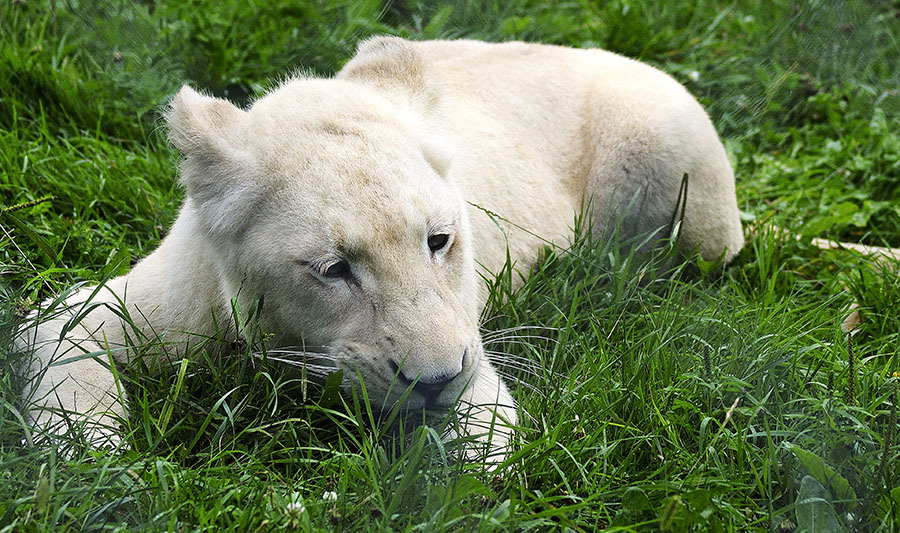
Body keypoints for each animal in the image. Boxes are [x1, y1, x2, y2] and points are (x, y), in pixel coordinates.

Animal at [17, 37, 740, 458]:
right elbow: (66, 366)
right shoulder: (89, 310)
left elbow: (481, 452)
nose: (437, 381)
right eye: (334, 269)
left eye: (439, 241)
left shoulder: (476, 365)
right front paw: (99, 464)